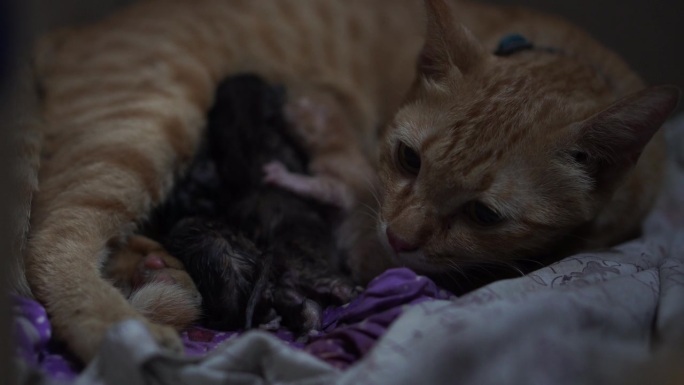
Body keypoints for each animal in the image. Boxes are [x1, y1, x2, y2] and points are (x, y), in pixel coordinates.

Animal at [22, 0, 680, 362]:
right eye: (408, 159)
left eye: (485, 215)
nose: (402, 238)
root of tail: (73, 34)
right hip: (143, 126)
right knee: (51, 238)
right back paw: (115, 327)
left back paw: (153, 271)